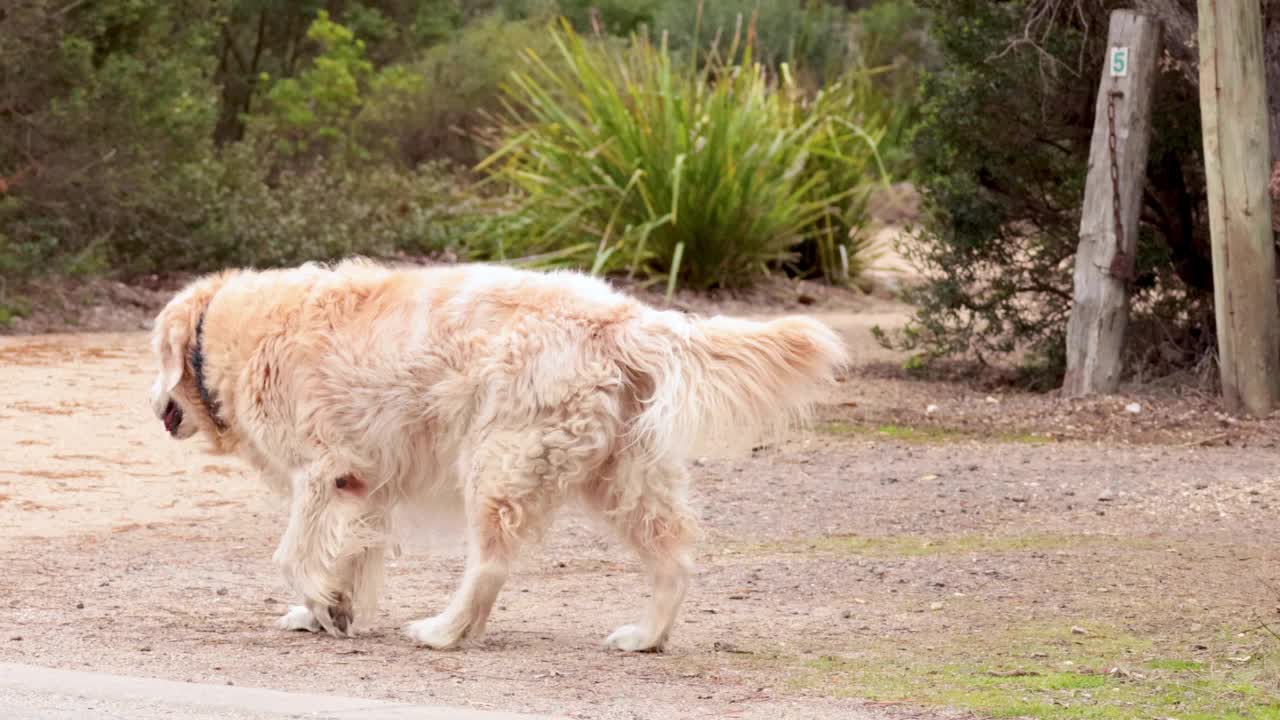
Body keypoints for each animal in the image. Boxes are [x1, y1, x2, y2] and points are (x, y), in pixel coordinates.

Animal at [149, 258, 849, 650]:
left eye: (156, 354)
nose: (155, 408)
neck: (229, 334)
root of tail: (627, 320)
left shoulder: (324, 473)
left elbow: (293, 556)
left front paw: (321, 605)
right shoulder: (363, 486)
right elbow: (351, 557)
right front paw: (329, 611)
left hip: (497, 467)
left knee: (489, 566)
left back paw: (443, 632)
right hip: (622, 478)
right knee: (674, 560)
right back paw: (645, 639)